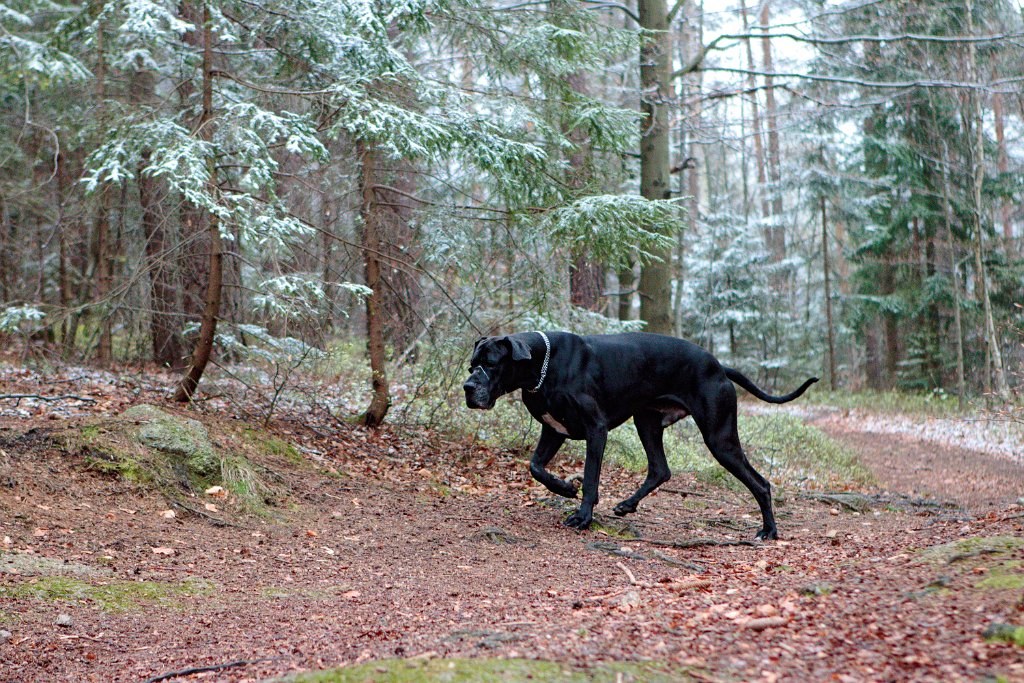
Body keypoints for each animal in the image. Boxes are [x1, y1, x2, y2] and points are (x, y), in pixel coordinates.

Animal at [464, 331, 815, 540]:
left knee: (761, 483)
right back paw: (627, 505)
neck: (541, 367)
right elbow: (536, 467)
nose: (467, 387)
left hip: (720, 439)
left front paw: (583, 515)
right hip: (646, 422)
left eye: (490, 363)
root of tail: (718, 365)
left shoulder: (596, 430)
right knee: (660, 469)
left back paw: (769, 531)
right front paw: (564, 488)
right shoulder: (553, 430)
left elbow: (590, 478)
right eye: (471, 366)